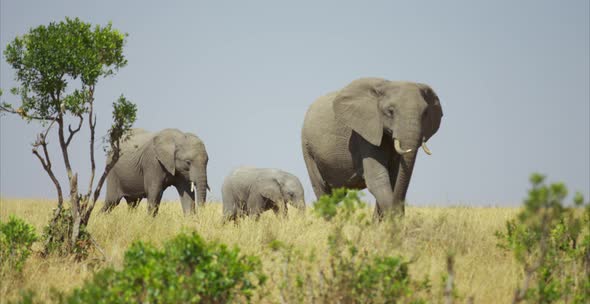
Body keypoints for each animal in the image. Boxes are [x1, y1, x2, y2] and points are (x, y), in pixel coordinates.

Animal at [300, 77, 444, 217]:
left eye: (425, 113)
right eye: (390, 111)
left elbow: (394, 177)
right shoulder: (364, 132)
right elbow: (378, 178)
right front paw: (392, 220)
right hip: (307, 149)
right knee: (321, 189)